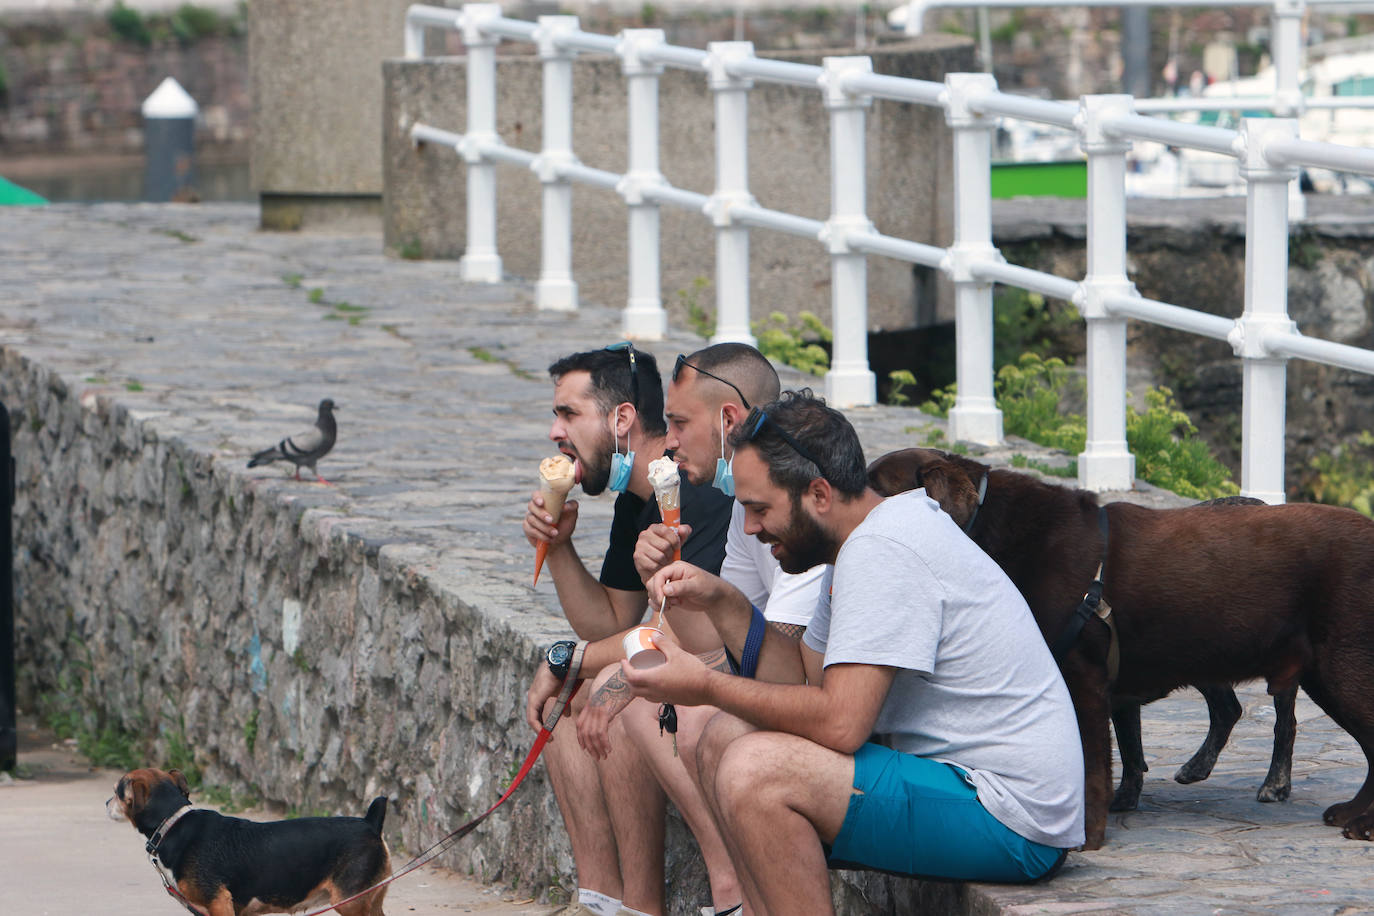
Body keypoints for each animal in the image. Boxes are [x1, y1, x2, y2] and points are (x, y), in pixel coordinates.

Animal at [109, 769, 392, 916]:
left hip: (351, 902)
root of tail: (370, 823)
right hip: (370, 900)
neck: (173, 823)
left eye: (117, 793)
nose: (105, 803)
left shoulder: (219, 904)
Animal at [868, 450, 1374, 851]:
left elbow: (1093, 767)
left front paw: (1088, 838)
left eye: (874, 484)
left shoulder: (1083, 679)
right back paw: (1351, 814)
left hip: (1340, 668)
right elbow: (1124, 753)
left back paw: (1349, 818)